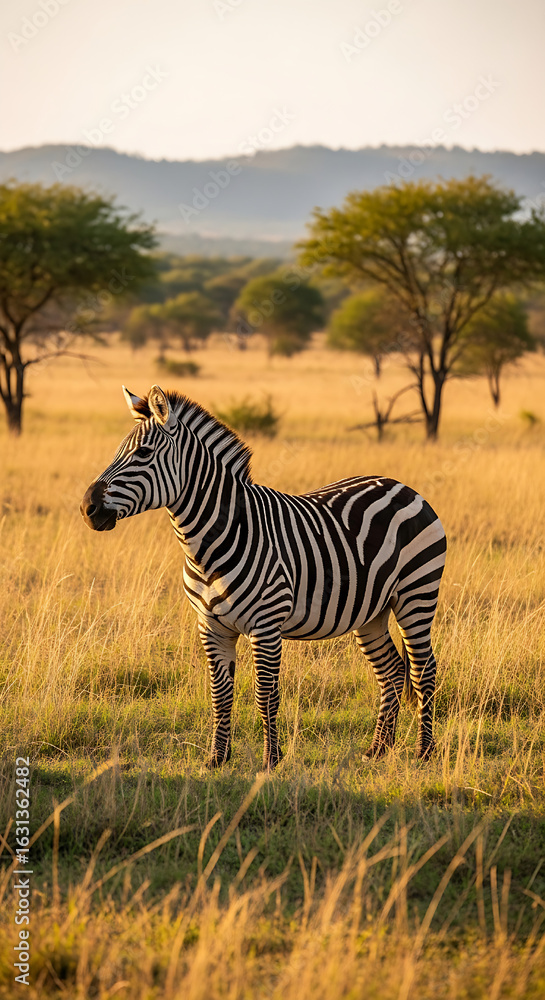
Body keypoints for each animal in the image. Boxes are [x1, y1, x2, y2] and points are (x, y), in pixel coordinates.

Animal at [81, 385, 447, 769]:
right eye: (118, 451)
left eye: (143, 453)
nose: (87, 508)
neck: (210, 544)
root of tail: (403, 486)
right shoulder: (211, 627)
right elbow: (220, 694)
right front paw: (217, 758)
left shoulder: (266, 625)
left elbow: (265, 694)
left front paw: (272, 760)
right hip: (371, 612)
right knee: (391, 670)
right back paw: (378, 749)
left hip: (416, 595)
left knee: (423, 670)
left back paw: (424, 751)